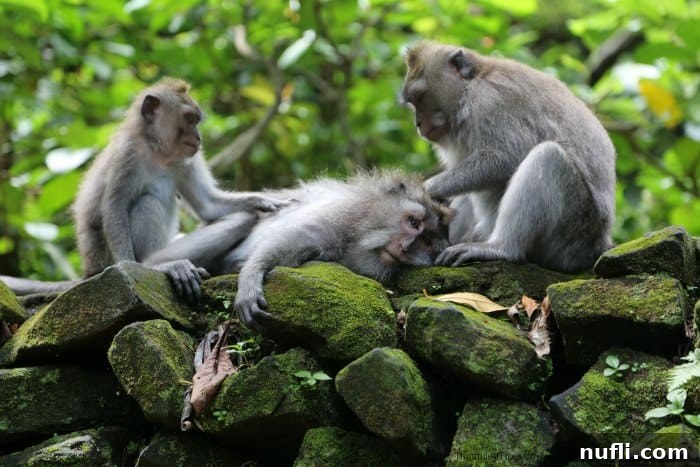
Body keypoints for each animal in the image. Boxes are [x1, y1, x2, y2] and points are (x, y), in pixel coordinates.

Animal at [1, 78, 285, 300]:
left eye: (197, 121)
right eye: (190, 119)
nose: (198, 138)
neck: (157, 150)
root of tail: (88, 272)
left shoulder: (187, 159)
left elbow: (208, 205)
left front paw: (263, 201)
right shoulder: (127, 154)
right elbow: (113, 207)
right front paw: (134, 270)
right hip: (106, 257)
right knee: (147, 201)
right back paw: (161, 265)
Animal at [147, 170, 452, 330]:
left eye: (426, 241)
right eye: (413, 223)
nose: (404, 248)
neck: (357, 236)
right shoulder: (340, 219)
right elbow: (287, 240)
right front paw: (250, 278)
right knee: (245, 217)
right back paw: (163, 265)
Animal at [400, 41, 616, 273]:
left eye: (420, 97)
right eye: (412, 102)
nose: (418, 123)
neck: (473, 81)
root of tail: (599, 244)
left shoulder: (489, 101)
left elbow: (505, 159)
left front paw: (427, 188)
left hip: (574, 232)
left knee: (548, 157)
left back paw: (501, 248)